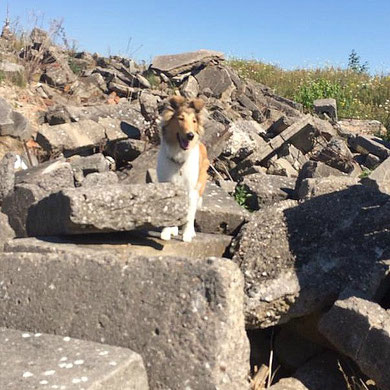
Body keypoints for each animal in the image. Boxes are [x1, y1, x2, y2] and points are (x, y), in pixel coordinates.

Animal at [156, 95, 209, 241]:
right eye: (180, 118)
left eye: (194, 121)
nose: (190, 135)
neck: (179, 158)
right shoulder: (167, 186)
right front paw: (167, 231)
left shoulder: (191, 189)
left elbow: (189, 215)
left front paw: (187, 235)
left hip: (199, 186)